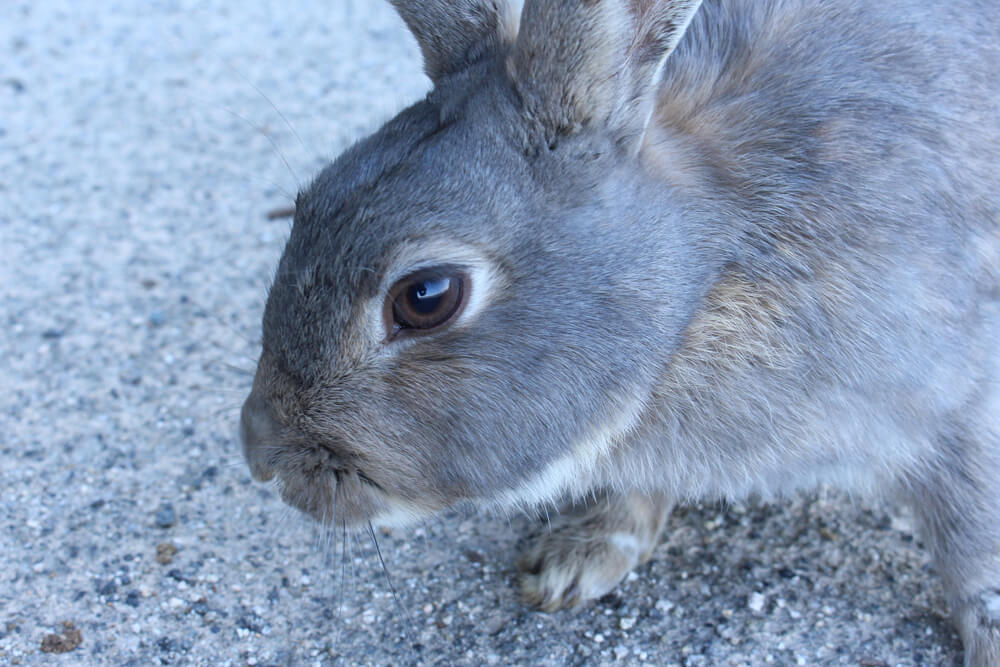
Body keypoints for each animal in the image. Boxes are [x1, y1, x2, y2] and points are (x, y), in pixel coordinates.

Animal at [239, 0, 1000, 663]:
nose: (260, 455)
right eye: (310, 202)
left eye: (426, 297)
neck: (696, 290)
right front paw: (579, 556)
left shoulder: (954, 400)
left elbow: (973, 538)